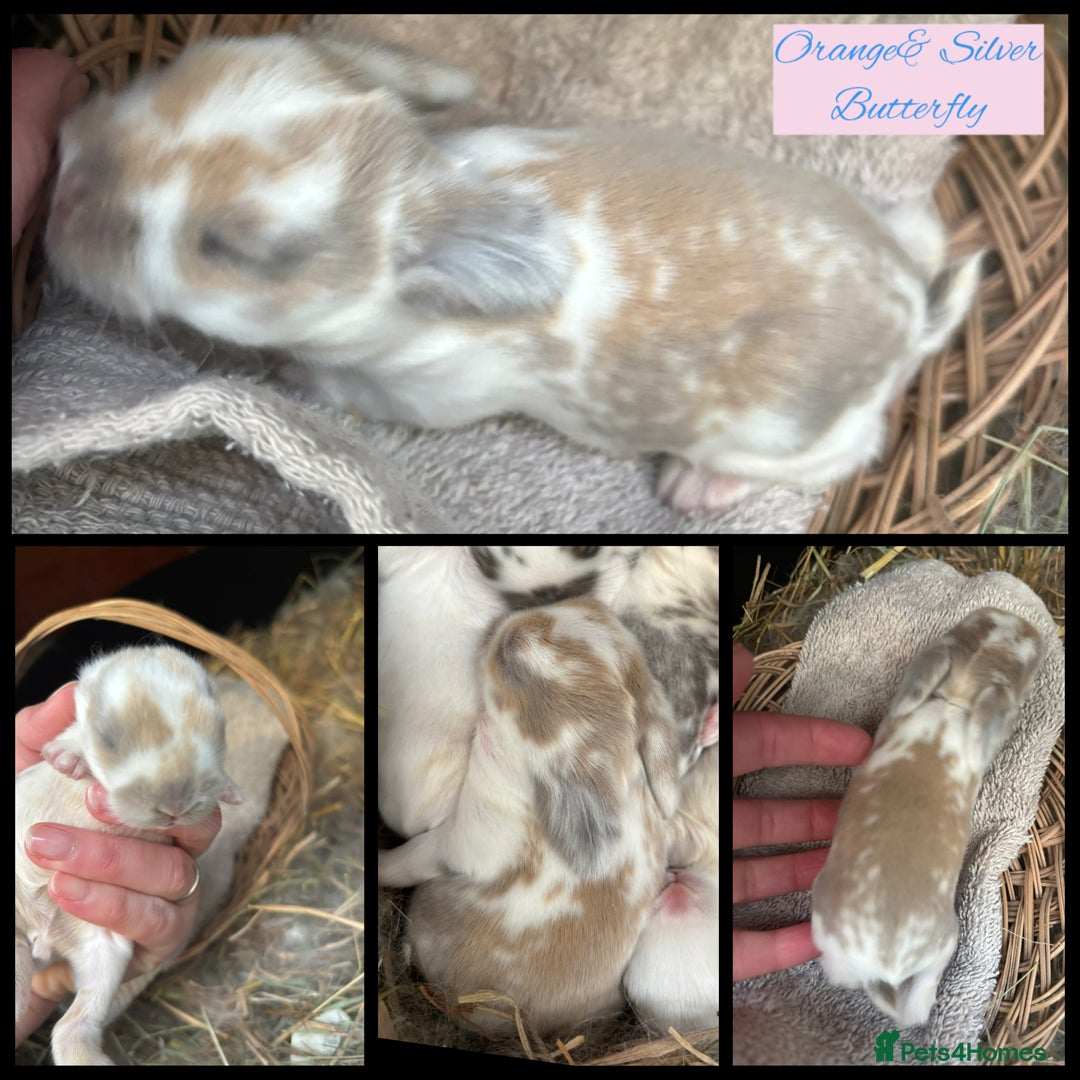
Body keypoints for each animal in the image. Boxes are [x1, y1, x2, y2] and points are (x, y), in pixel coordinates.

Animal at [16, 645, 242, 1065]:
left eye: (218, 728)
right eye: (108, 738)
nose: (176, 804)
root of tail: (42, 939)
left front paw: (232, 792)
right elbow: (71, 739)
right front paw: (65, 759)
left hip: (104, 958)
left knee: (71, 1027)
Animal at [45, 33, 981, 516]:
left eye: (229, 249)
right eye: (172, 70)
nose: (66, 181)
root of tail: (911, 310)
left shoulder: (419, 394)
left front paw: (290, 376)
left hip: (781, 429)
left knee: (846, 454)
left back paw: (696, 486)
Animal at [378, 596, 682, 1031]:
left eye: (512, 658)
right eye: (585, 604)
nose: (502, 623)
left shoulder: (457, 842)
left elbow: (408, 860)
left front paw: (379, 866)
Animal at [811, 607, 1045, 1028]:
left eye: (975, 620)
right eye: (1027, 664)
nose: (1027, 626)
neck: (955, 699)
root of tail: (883, 963)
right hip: (946, 941)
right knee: (919, 1002)